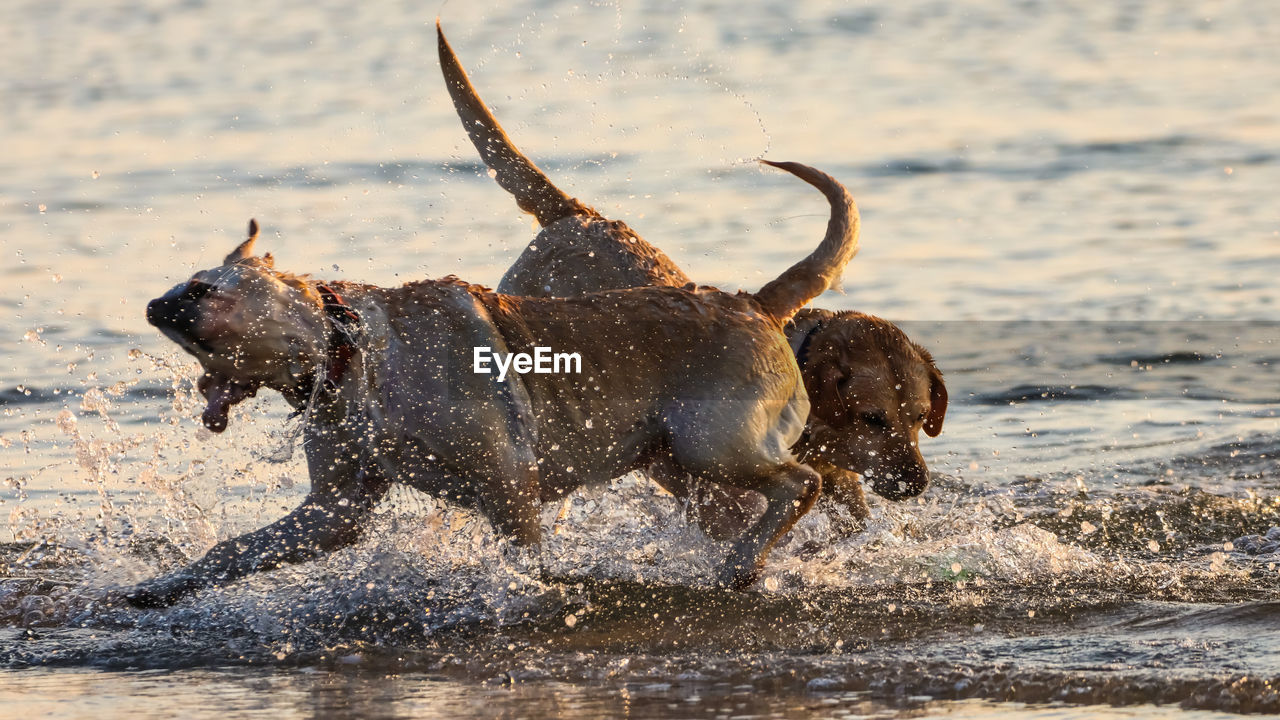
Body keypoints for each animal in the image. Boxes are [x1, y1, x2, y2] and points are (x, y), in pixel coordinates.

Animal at [127, 158, 860, 604]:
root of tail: (755, 302)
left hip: (714, 444)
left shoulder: (508, 476)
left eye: (200, 288)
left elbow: (521, 558)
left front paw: (529, 594)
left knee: (804, 482)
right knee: (800, 486)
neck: (354, 352)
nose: (152, 306)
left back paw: (742, 564)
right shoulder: (333, 511)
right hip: (688, 467)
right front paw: (160, 588)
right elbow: (234, 550)